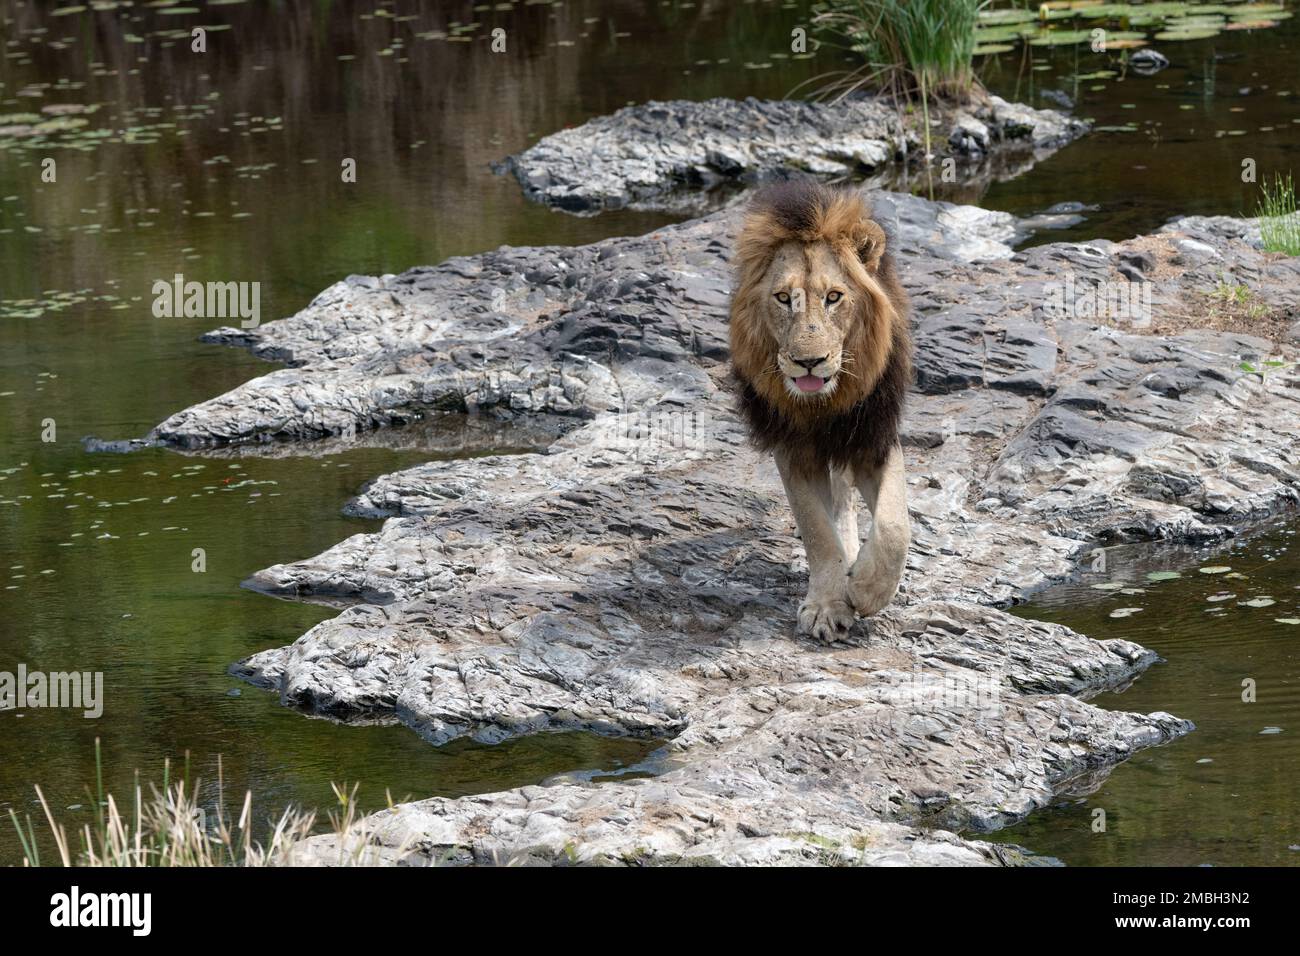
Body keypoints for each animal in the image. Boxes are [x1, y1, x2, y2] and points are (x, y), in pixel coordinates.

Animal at [733, 180, 915, 642]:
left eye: (834, 297)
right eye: (783, 298)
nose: (809, 362)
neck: (822, 404)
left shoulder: (873, 436)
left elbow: (894, 526)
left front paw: (866, 589)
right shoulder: (792, 447)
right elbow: (816, 529)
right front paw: (827, 605)